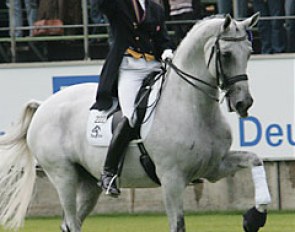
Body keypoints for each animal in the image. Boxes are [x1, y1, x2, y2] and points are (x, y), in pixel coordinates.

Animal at [0, 14, 272, 232]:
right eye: (226, 55)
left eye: (249, 52)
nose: (243, 103)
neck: (191, 107)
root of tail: (44, 105)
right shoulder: (171, 179)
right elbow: (178, 225)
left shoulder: (214, 167)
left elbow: (255, 160)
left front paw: (254, 218)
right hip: (63, 175)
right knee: (71, 221)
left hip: (88, 182)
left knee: (70, 223)